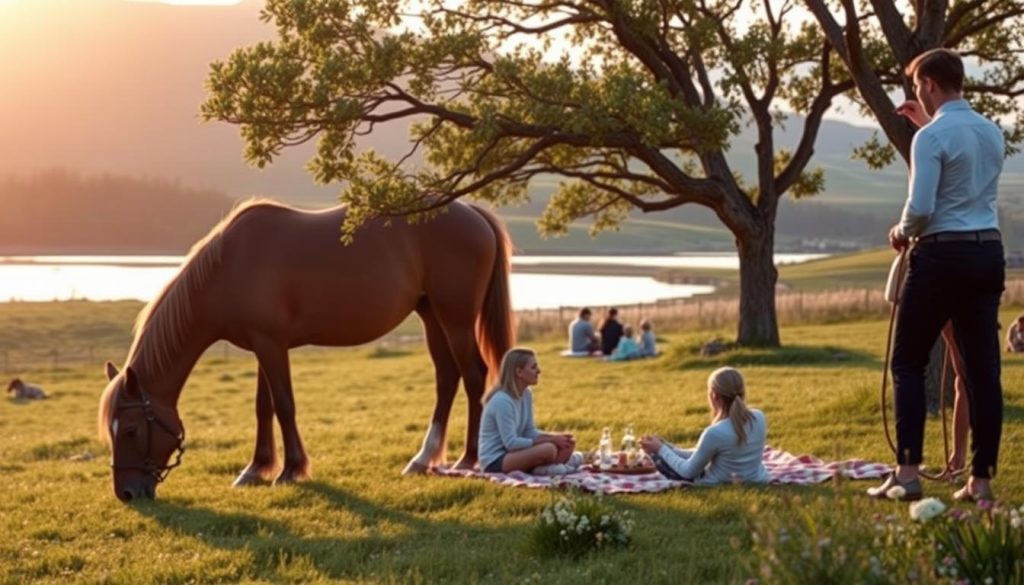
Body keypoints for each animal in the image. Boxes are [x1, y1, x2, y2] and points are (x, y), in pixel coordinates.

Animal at [96, 198, 512, 502]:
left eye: (130, 430)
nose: (127, 493)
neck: (229, 265)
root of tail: (471, 211)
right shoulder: (262, 346)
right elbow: (263, 408)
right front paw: (255, 469)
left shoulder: (271, 345)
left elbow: (283, 405)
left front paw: (290, 470)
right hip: (431, 316)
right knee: (447, 378)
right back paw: (423, 459)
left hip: (455, 319)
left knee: (474, 377)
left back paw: (469, 459)